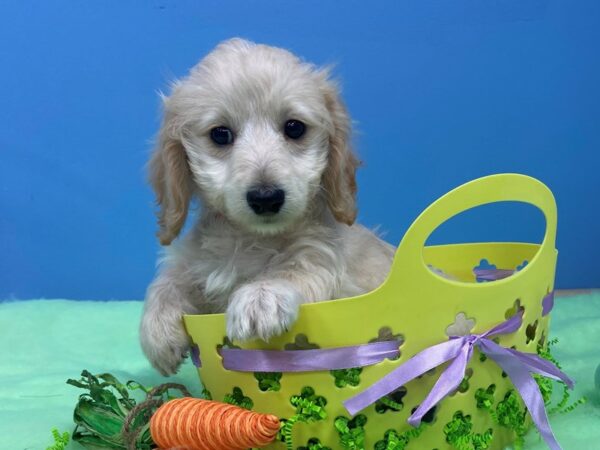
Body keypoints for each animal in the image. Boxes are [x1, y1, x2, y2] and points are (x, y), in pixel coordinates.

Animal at [140, 39, 394, 376]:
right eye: (220, 134)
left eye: (294, 128)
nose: (266, 197)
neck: (251, 240)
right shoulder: (197, 266)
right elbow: (167, 280)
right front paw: (156, 330)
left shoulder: (322, 258)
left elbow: (296, 269)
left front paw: (261, 296)